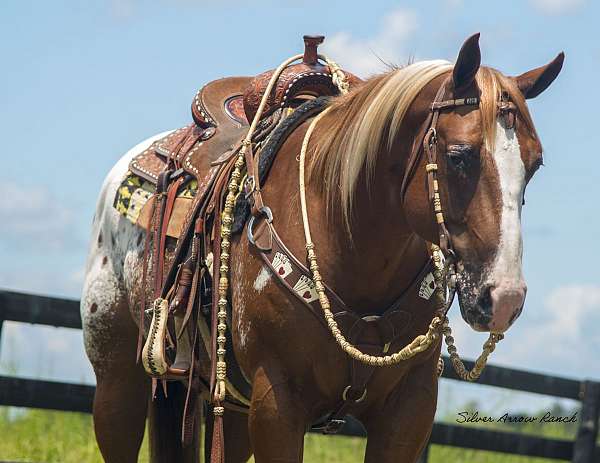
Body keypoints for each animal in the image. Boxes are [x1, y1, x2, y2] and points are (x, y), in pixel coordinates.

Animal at [81, 35, 564, 463]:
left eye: (535, 164)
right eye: (459, 155)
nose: (504, 297)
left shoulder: (409, 410)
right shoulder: (277, 406)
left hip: (231, 407)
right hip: (117, 381)